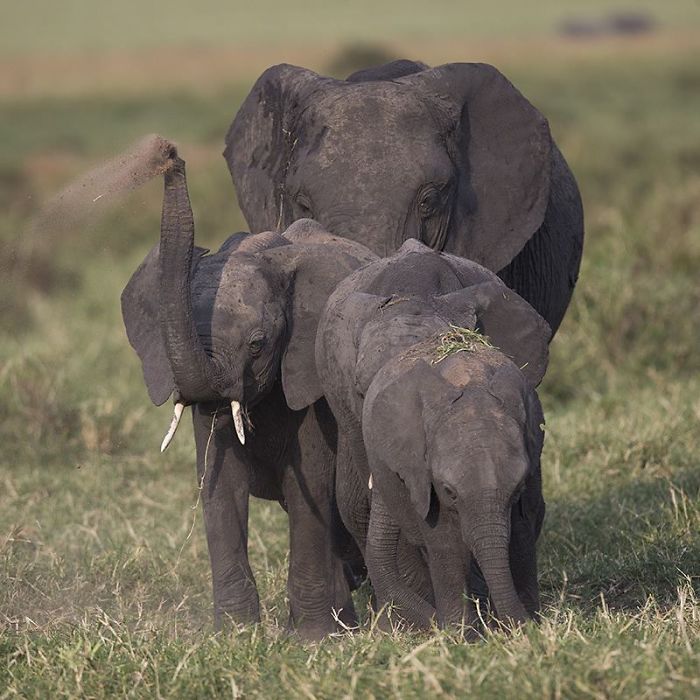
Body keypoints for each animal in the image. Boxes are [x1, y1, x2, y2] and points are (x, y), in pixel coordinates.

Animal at [123, 144, 380, 640]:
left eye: (258, 344)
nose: (169, 156)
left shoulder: (309, 381)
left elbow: (310, 490)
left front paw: (312, 641)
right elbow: (218, 485)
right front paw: (235, 637)